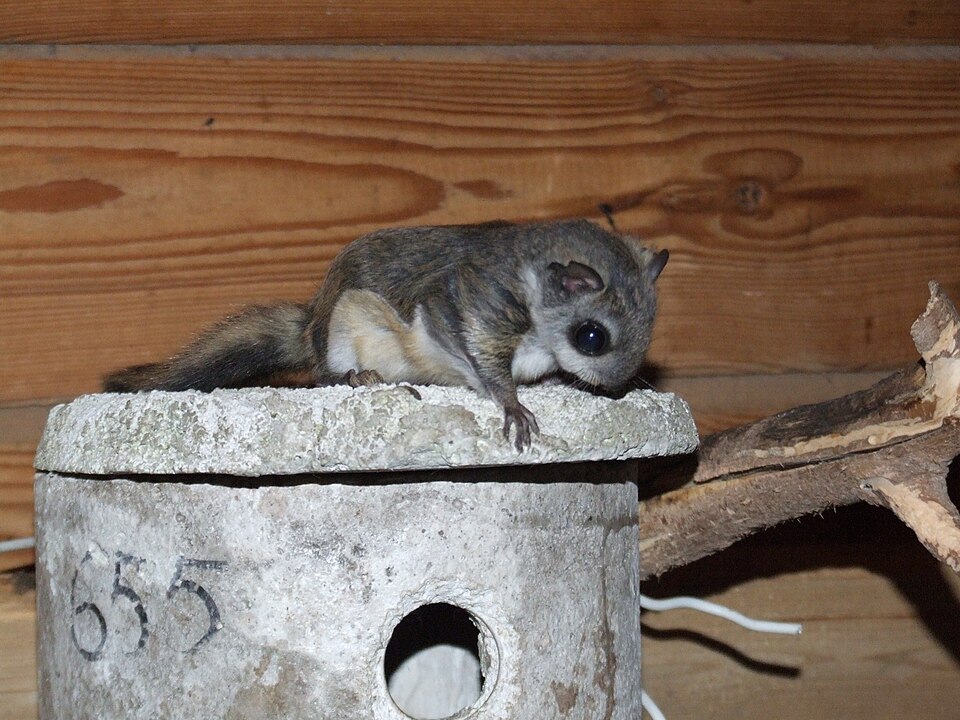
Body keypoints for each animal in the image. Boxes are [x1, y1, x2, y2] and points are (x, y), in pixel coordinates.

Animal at [103, 219, 668, 450]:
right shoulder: (472, 305)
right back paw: (359, 378)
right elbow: (481, 361)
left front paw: (551, 383)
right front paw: (512, 403)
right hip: (345, 324)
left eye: (650, 325)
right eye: (591, 337)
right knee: (321, 374)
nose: (616, 387)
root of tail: (312, 321)